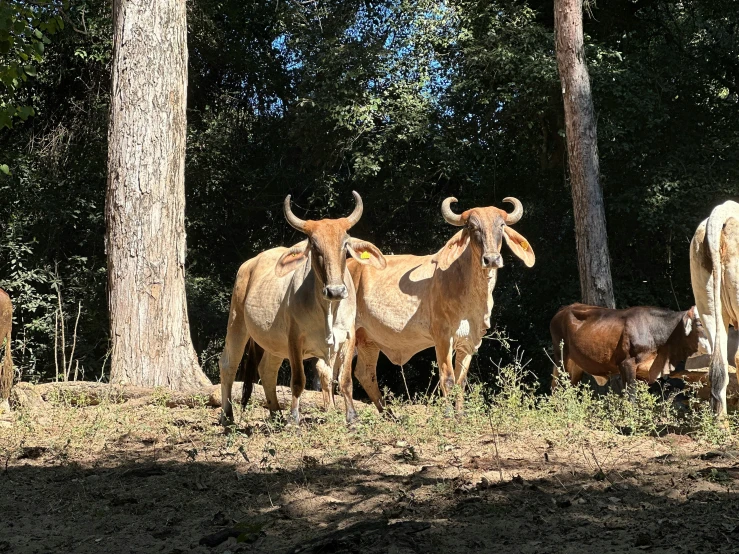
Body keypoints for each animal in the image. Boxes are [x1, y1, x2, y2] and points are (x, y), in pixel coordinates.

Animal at [218, 192, 388, 424]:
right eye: (314, 246)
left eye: (344, 245)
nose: (335, 290)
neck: (328, 309)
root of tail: (250, 263)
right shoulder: (294, 338)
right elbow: (298, 380)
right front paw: (294, 418)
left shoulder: (349, 335)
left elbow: (345, 380)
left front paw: (352, 418)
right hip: (237, 323)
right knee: (228, 364)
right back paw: (227, 416)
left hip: (273, 342)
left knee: (267, 369)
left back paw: (275, 413)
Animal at [350, 196, 536, 412]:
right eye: (473, 227)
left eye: (502, 225)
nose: (491, 259)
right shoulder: (442, 337)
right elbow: (447, 379)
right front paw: (447, 414)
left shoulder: (469, 342)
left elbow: (460, 382)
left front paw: (460, 415)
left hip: (368, 340)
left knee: (365, 374)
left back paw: (390, 415)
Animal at [552, 302, 708, 388]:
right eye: (699, 323)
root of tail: (565, 308)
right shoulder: (626, 363)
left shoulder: (646, 370)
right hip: (562, 359)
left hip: (576, 364)